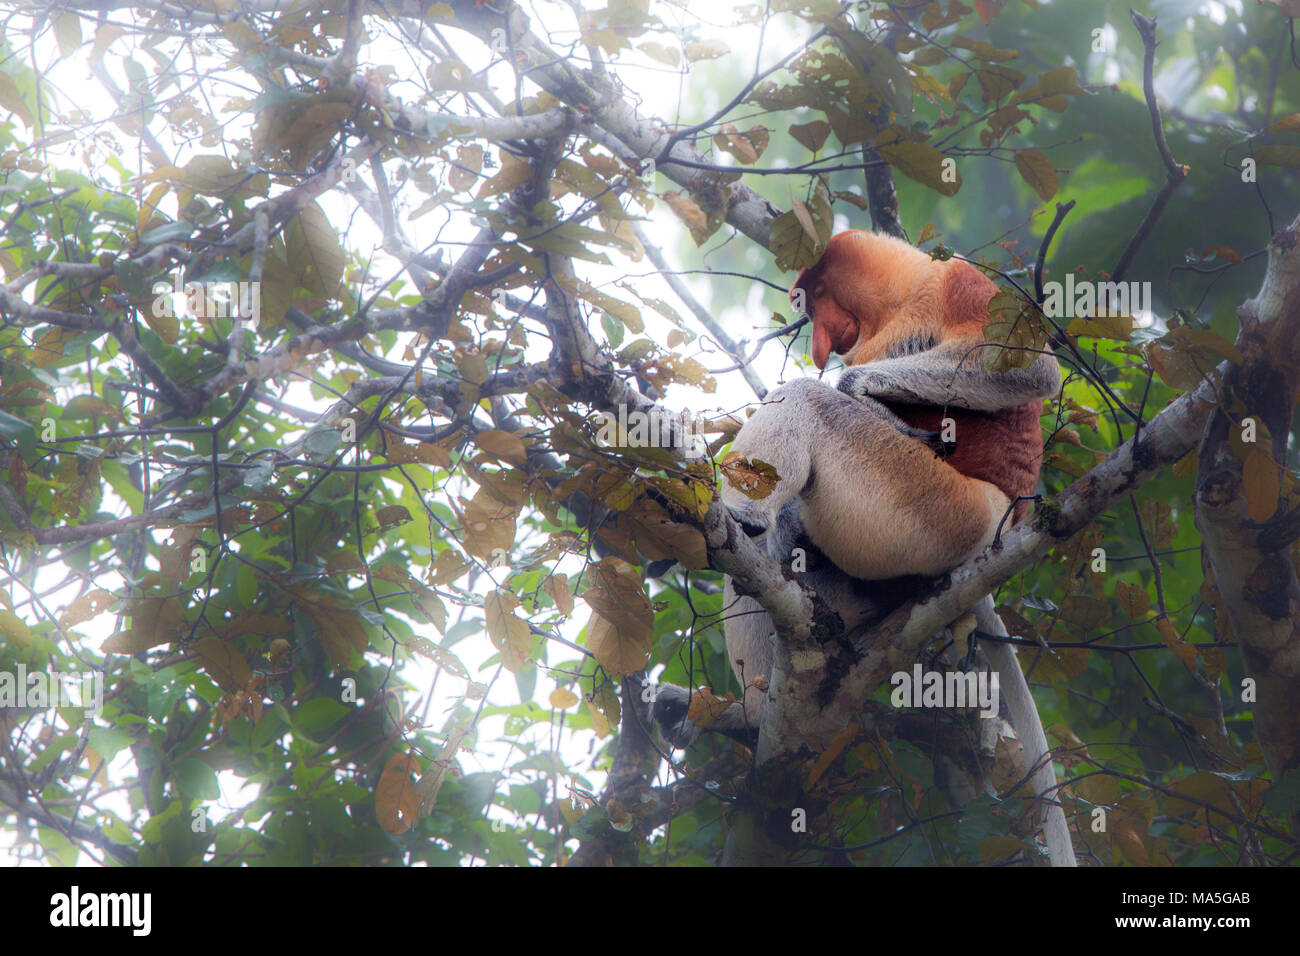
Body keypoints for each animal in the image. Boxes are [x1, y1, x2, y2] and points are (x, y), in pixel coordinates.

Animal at [652, 230, 1074, 866]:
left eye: (808, 303)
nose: (821, 345)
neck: (902, 298)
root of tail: (998, 523)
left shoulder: (961, 283)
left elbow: (1031, 369)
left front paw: (855, 389)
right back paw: (746, 705)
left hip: (932, 510)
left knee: (807, 402)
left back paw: (743, 522)